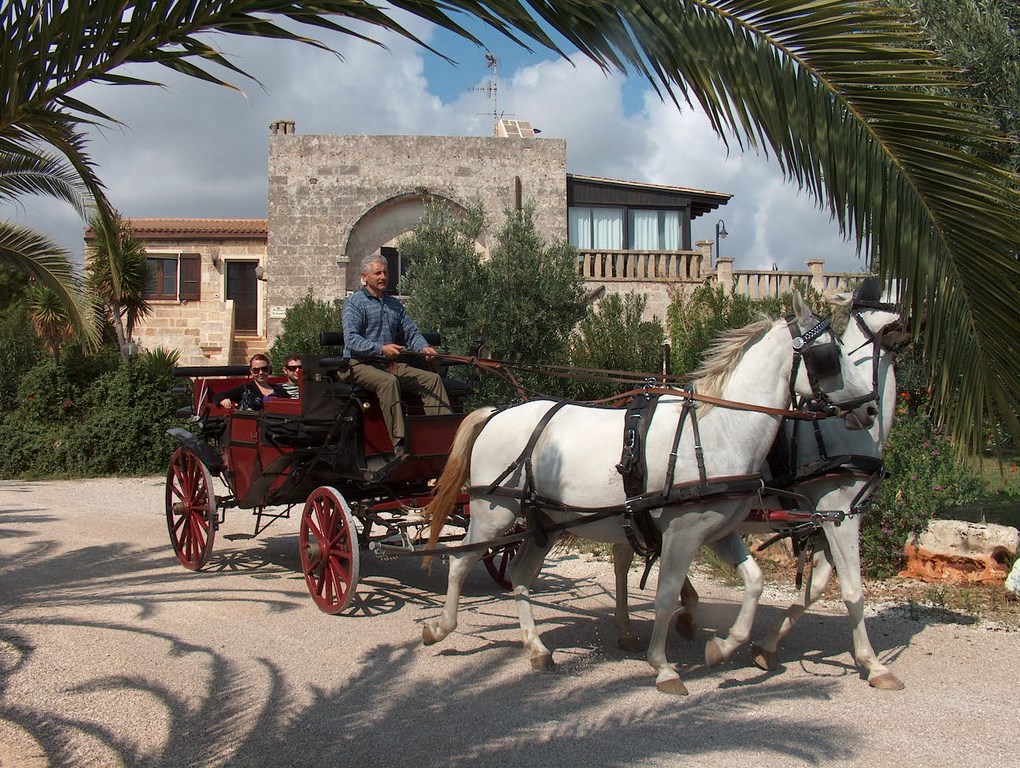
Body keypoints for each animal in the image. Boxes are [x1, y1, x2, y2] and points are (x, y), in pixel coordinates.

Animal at [422, 295, 877, 693]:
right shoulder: (682, 533)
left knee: (519, 576)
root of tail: (497, 413)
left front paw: (721, 647)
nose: (870, 407)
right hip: (494, 512)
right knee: (461, 562)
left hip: (542, 524)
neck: (715, 431)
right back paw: (440, 628)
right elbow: (665, 596)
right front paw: (663, 667)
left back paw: (536, 648)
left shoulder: (720, 532)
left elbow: (754, 582)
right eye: (829, 355)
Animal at [612, 279, 909, 693]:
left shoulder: (826, 519)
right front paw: (873, 664)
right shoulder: (840, 513)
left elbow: (815, 589)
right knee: (626, 559)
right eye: (831, 356)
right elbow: (852, 590)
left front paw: (766, 646)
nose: (867, 409)